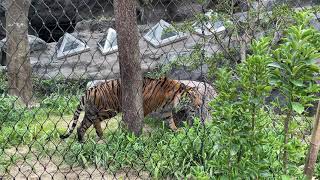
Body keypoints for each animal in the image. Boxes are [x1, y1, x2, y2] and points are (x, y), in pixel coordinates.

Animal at [59, 76, 202, 143]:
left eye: (200, 97)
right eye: (193, 97)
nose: (200, 104)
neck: (174, 98)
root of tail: (88, 91)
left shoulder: (166, 111)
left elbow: (170, 121)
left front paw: (176, 131)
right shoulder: (145, 107)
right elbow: (140, 120)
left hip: (91, 112)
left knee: (81, 126)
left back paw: (82, 140)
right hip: (108, 110)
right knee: (94, 121)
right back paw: (98, 134)